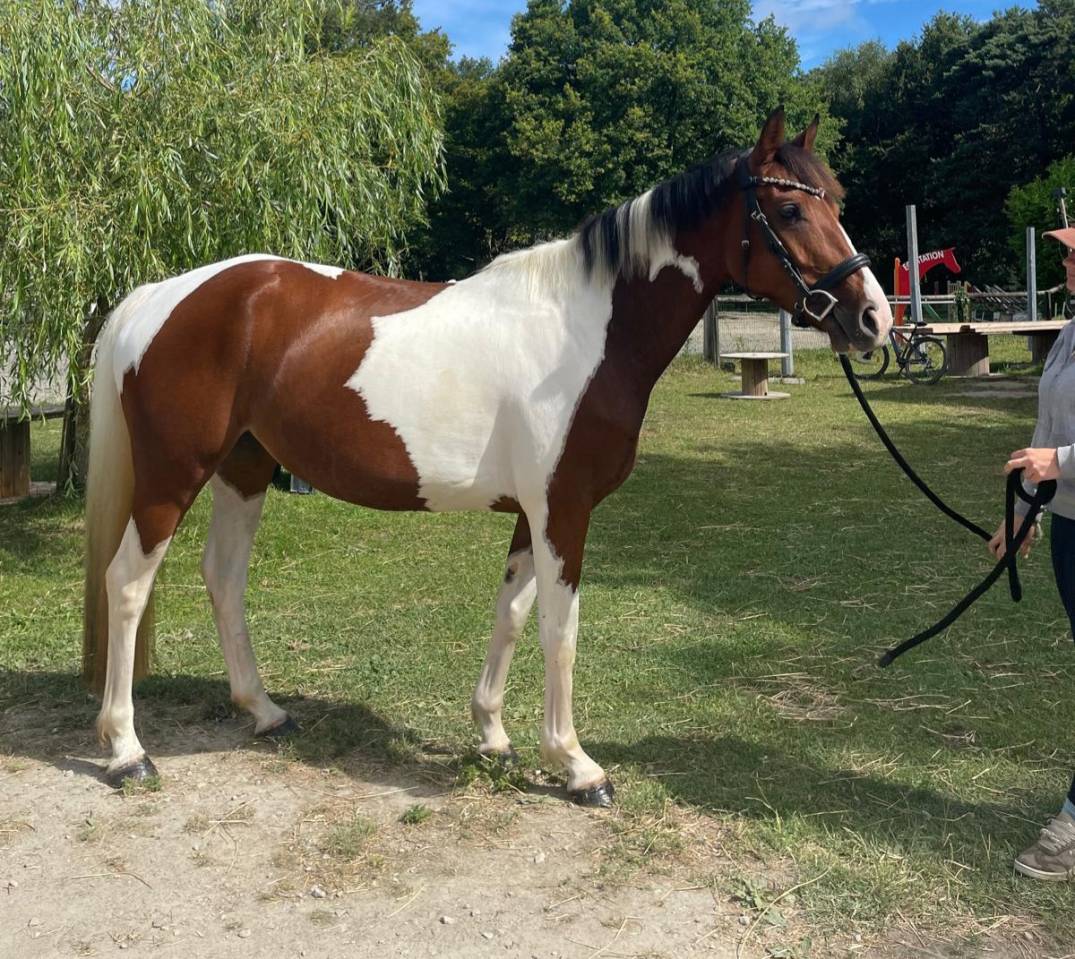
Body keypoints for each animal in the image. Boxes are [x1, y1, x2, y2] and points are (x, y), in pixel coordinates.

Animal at [83, 107, 893, 803]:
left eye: (835, 200)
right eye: (789, 212)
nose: (873, 318)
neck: (584, 334)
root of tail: (161, 296)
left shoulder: (532, 514)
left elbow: (512, 613)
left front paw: (494, 737)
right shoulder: (563, 510)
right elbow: (560, 630)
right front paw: (576, 765)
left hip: (244, 470)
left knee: (222, 578)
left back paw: (263, 710)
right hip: (172, 475)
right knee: (127, 583)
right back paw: (126, 750)